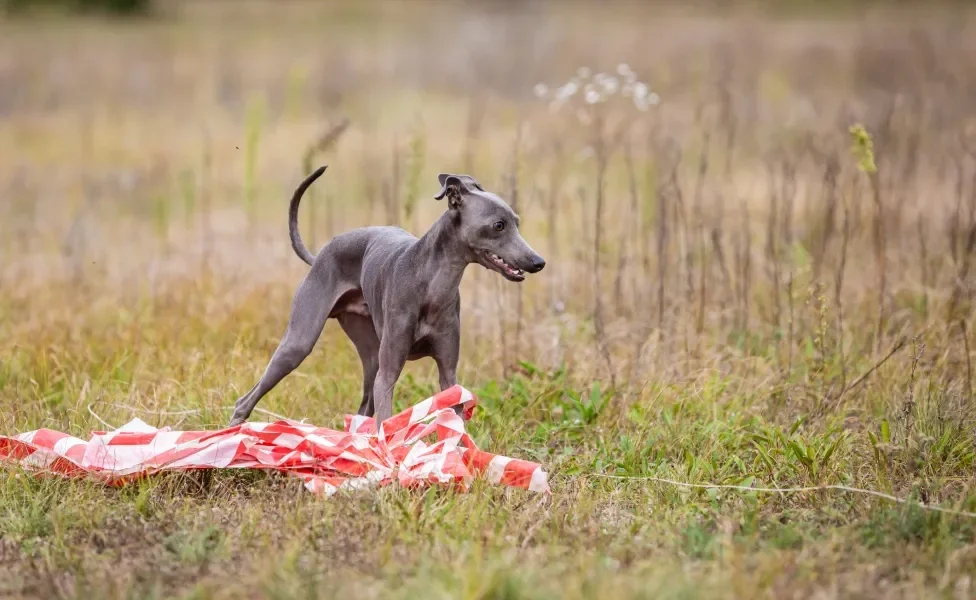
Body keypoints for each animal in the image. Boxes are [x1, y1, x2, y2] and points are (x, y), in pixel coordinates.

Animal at [231, 164, 548, 426]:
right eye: (498, 225)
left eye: (516, 221)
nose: (538, 262)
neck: (431, 284)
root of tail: (322, 253)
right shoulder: (389, 374)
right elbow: (386, 423)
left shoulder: (448, 373)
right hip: (299, 344)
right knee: (244, 401)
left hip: (370, 356)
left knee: (362, 409)